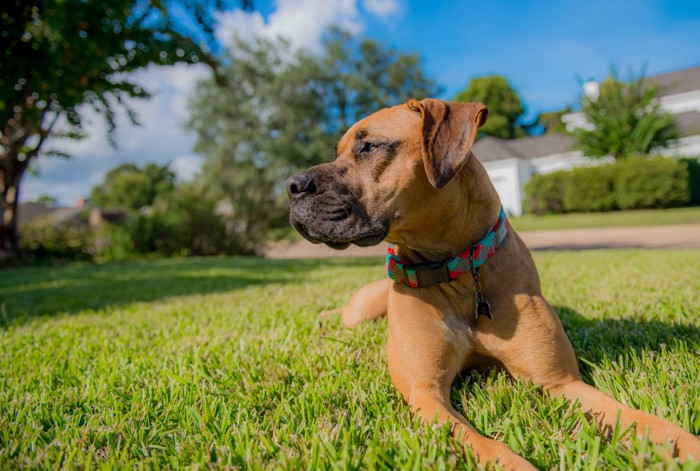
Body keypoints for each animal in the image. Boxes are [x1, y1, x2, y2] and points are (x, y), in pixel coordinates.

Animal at [286, 98, 700, 468]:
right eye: (339, 152)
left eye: (369, 146)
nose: (291, 185)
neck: (454, 268)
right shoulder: (426, 393)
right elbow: (484, 445)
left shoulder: (561, 382)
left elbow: (643, 421)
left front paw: (684, 445)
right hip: (360, 312)